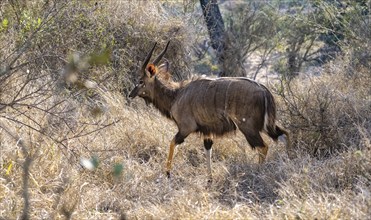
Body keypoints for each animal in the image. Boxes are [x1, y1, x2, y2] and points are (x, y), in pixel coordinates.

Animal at [129, 41, 292, 180]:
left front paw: (168, 173)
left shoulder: (186, 128)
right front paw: (210, 179)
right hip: (265, 126)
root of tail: (264, 91)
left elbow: (172, 142)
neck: (176, 95)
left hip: (248, 128)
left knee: (263, 147)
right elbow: (208, 149)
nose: (131, 94)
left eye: (140, 81)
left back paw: (258, 172)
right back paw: (289, 158)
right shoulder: (207, 131)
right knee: (285, 133)